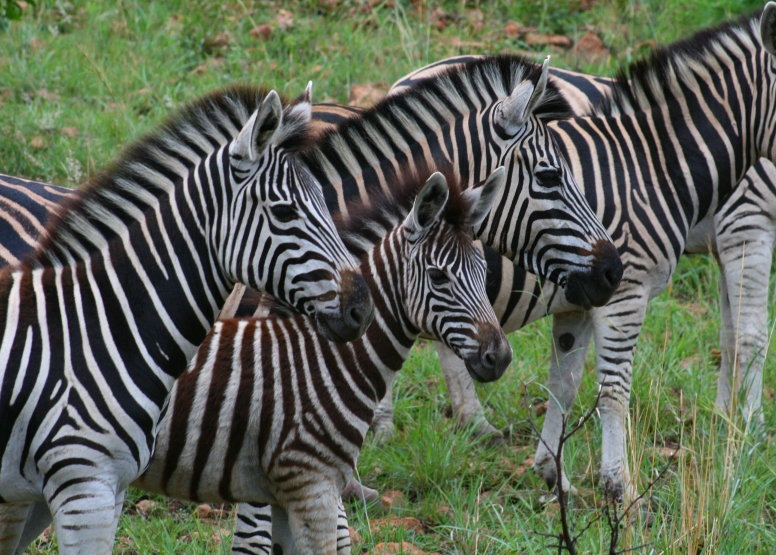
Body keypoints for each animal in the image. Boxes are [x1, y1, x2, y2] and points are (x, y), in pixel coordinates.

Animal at [0, 83, 374, 555]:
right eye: (284, 212)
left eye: (329, 202)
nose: (361, 308)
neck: (100, 326)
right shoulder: (84, 486)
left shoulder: (106, 487)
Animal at [7, 169, 516, 555]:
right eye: (439, 277)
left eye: (483, 270)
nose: (500, 357)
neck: (320, 357)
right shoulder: (307, 481)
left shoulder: (294, 488)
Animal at [362, 4, 776, 502]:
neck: (659, 164)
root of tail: (405, 79)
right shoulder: (743, 224)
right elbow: (744, 340)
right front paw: (745, 435)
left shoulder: (594, 293)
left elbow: (723, 337)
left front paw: (724, 424)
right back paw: (386, 430)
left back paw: (472, 425)